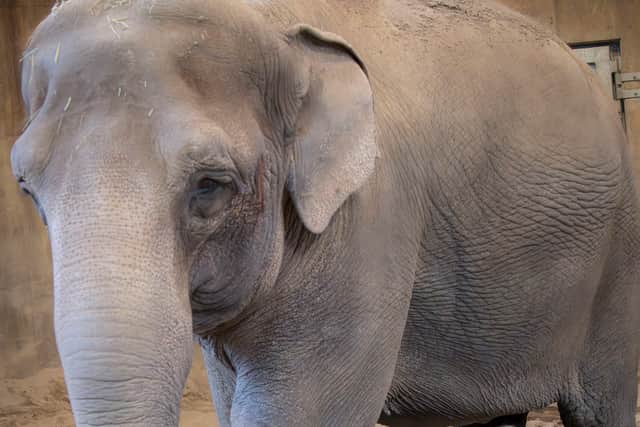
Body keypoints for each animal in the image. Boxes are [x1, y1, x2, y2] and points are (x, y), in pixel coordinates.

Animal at [10, 0, 640, 426]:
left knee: (603, 405)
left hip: (618, 256)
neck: (278, 29)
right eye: (27, 188)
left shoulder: (368, 224)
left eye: (210, 187)